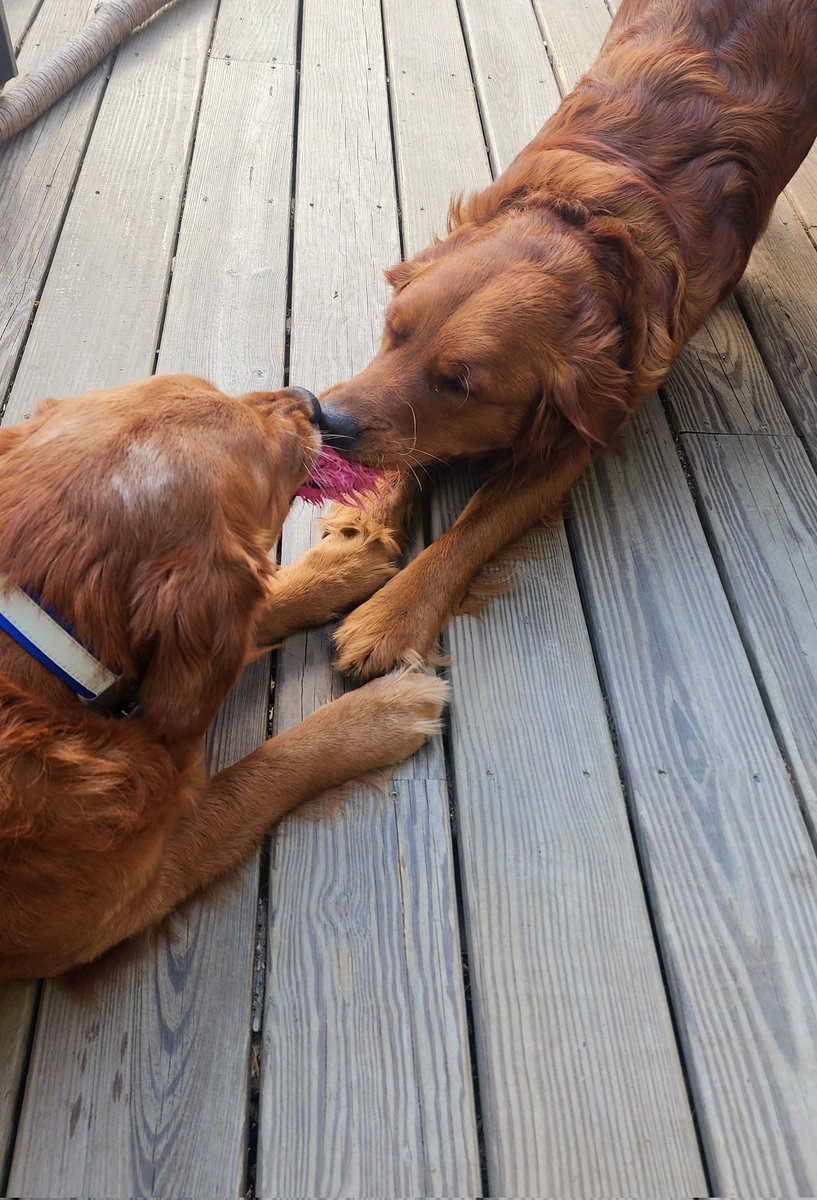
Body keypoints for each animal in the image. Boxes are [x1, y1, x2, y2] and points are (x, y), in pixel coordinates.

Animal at [0, 376, 446, 984]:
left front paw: (341, 564)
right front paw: (382, 715)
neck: (43, 633)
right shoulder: (111, 906)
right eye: (272, 453)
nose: (309, 400)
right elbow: (264, 770)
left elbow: (264, 603)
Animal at [309, 0, 815, 681]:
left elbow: (473, 526)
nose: (328, 422)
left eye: (460, 384)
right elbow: (407, 449)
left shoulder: (578, 435)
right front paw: (354, 539)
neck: (588, 225)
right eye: (394, 329)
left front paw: (391, 614)